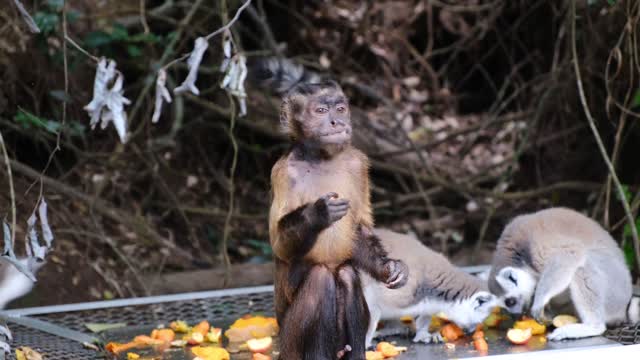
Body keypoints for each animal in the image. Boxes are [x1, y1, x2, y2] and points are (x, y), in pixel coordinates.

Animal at [260, 59, 410, 360]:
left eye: (340, 109)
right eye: (320, 111)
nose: (337, 122)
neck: (320, 158)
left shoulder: (357, 162)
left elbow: (359, 231)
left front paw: (389, 267)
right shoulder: (283, 173)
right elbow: (280, 246)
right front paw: (316, 215)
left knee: (346, 275)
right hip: (289, 344)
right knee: (321, 278)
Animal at [362, 229, 498, 348]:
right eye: (478, 318)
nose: (470, 331)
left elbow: (423, 315)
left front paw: (422, 334)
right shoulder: (402, 290)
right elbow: (371, 308)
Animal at [488, 208, 636, 340]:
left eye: (510, 302)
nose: (516, 315)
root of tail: (623, 305)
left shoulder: (538, 246)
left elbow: (569, 253)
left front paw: (539, 302)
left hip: (614, 290)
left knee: (582, 268)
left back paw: (591, 327)